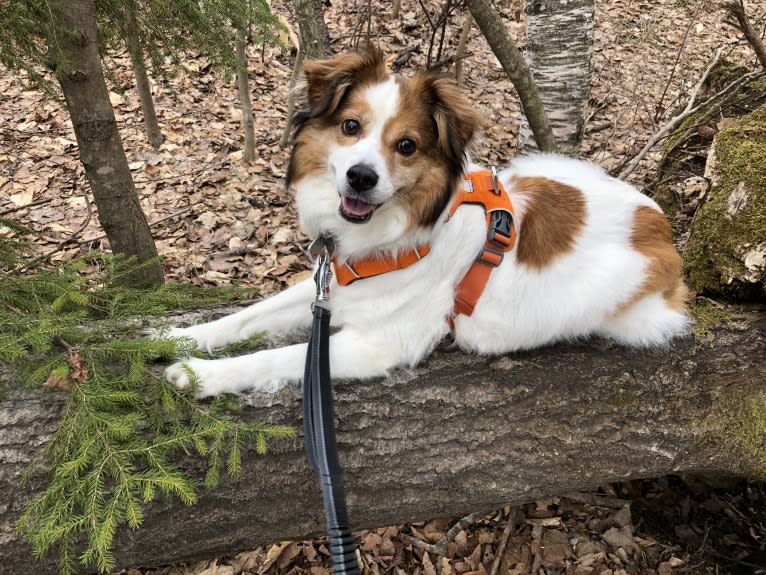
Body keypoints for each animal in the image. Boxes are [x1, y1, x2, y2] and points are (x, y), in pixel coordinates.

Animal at [165, 50, 692, 396]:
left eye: (407, 146)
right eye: (351, 126)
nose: (361, 177)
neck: (388, 233)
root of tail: (659, 225)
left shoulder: (380, 343)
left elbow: (276, 355)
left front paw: (198, 374)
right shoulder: (329, 284)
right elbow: (247, 317)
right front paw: (175, 338)